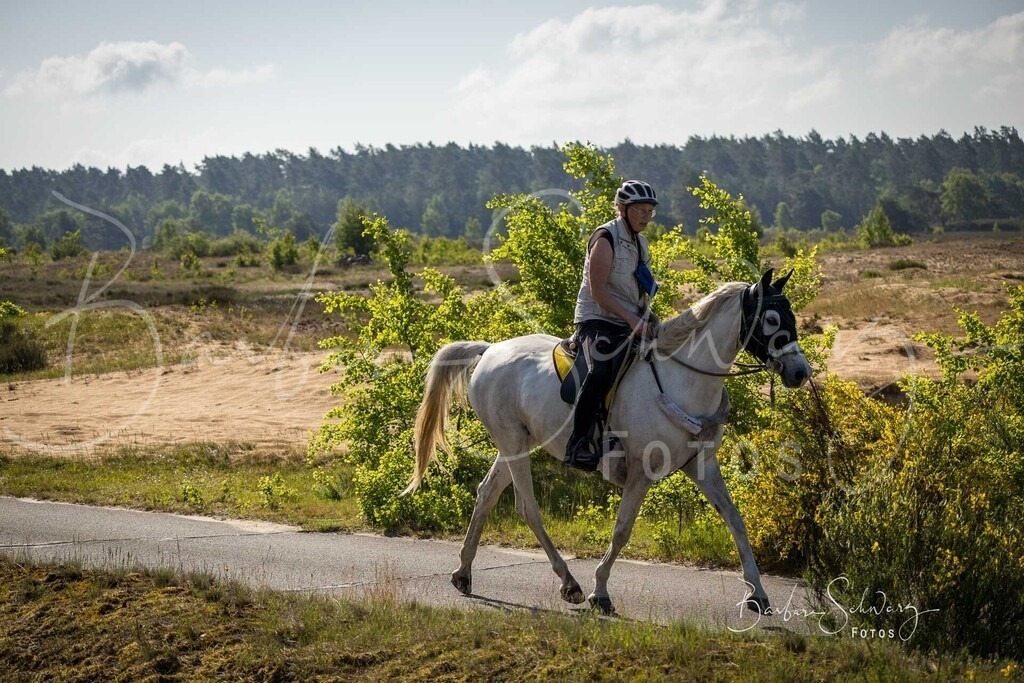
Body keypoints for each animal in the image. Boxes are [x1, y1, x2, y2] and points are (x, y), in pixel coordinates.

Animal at [406, 269, 812, 615]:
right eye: (771, 320)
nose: (800, 372)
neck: (683, 379)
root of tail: (490, 350)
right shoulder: (642, 473)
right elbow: (621, 530)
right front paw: (600, 592)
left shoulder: (701, 466)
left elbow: (735, 520)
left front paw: (758, 594)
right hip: (513, 443)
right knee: (527, 508)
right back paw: (570, 584)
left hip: (516, 443)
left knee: (487, 494)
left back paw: (464, 574)